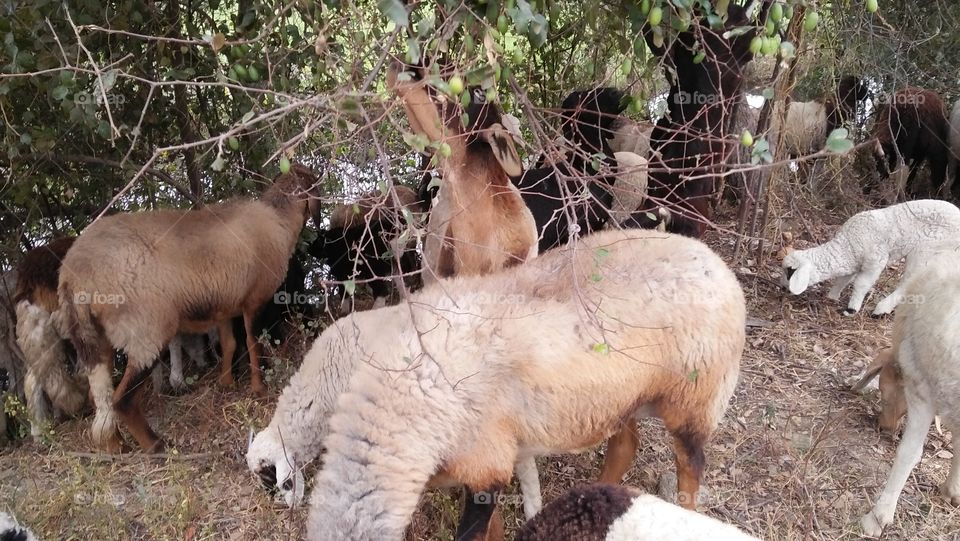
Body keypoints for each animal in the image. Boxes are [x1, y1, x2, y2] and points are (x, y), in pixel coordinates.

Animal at [58, 165, 321, 453]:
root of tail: (74, 275)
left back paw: (116, 444)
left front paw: (226, 383)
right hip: (145, 331)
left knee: (101, 397)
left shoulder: (224, 306)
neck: (278, 220)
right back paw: (154, 445)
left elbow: (229, 344)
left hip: (94, 338)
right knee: (122, 399)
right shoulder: (254, 301)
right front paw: (258, 388)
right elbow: (254, 345)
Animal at [304, 227, 746, 541]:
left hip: (695, 397)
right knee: (625, 444)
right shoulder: (490, 462)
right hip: (621, 396)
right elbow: (493, 527)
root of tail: (716, 262)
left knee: (691, 466)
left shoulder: (484, 462)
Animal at [781, 199, 960, 316]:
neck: (847, 245)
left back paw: (881, 309)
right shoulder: (854, 262)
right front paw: (832, 296)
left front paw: (852, 309)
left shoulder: (875, 261)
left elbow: (861, 284)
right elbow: (843, 279)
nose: (782, 287)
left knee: (909, 281)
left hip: (927, 249)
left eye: (789, 272)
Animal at [852, 248, 960, 537]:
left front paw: (877, 517)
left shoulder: (922, 386)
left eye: (884, 392)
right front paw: (953, 488)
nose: (883, 428)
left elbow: (909, 453)